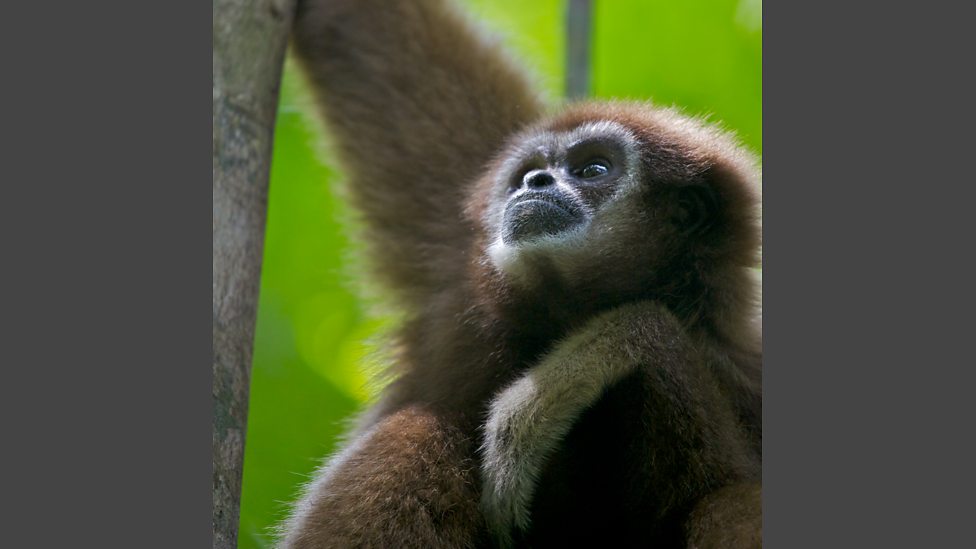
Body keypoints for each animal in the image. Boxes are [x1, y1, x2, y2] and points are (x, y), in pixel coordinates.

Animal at [280, 0, 761, 547]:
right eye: (528, 171)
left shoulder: (740, 367)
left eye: (593, 169)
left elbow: (724, 478)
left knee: (733, 502)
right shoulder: (462, 267)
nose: (536, 180)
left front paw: (577, 371)